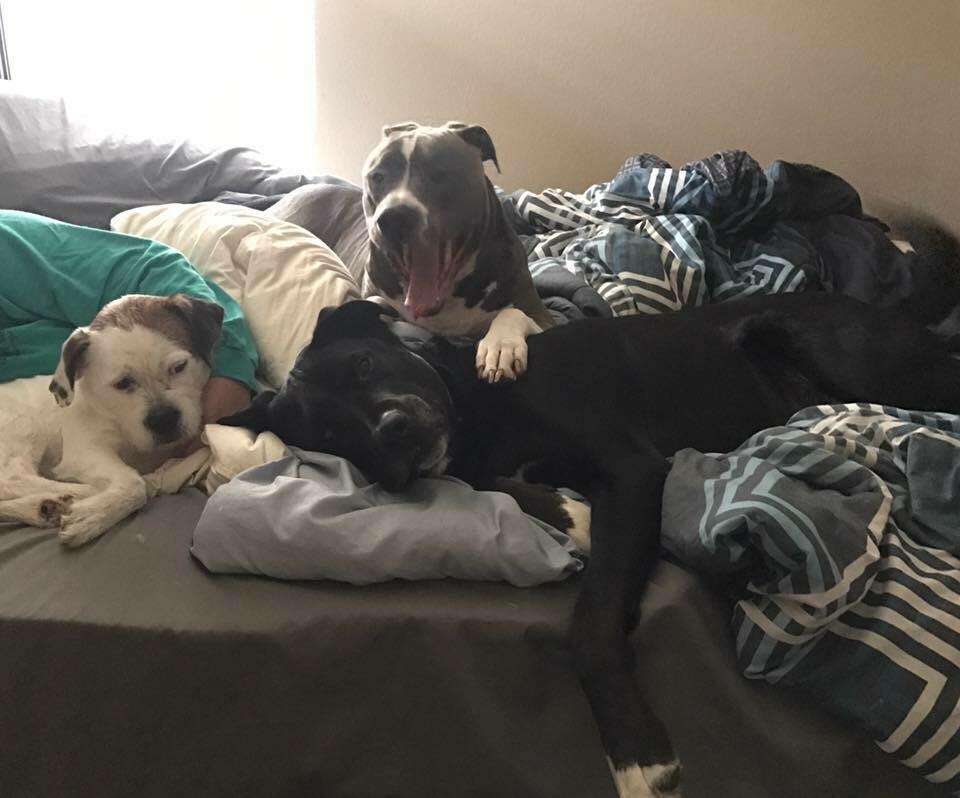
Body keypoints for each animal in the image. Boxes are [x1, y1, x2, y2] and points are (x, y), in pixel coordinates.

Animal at [225, 294, 960, 798]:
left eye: (365, 364)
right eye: (332, 434)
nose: (393, 431)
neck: (480, 412)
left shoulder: (632, 472)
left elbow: (592, 623)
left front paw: (638, 756)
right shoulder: (476, 462)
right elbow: (490, 483)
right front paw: (568, 512)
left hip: (837, 347)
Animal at [270, 122, 556, 384]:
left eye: (441, 173)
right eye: (377, 177)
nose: (394, 217)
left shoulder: (544, 316)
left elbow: (514, 312)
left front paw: (500, 346)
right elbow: (373, 303)